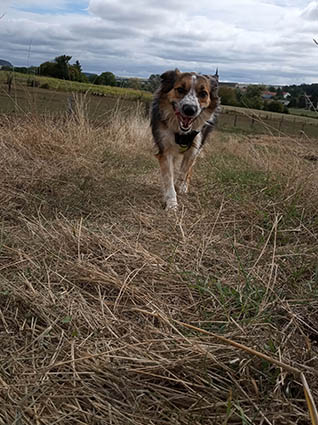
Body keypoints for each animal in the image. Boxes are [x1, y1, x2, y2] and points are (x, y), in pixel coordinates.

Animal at [150, 67, 220, 210]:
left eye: (203, 93)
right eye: (180, 89)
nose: (189, 109)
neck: (180, 131)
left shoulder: (194, 148)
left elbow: (184, 171)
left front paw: (180, 186)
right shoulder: (165, 149)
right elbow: (168, 177)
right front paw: (171, 203)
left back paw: (184, 186)